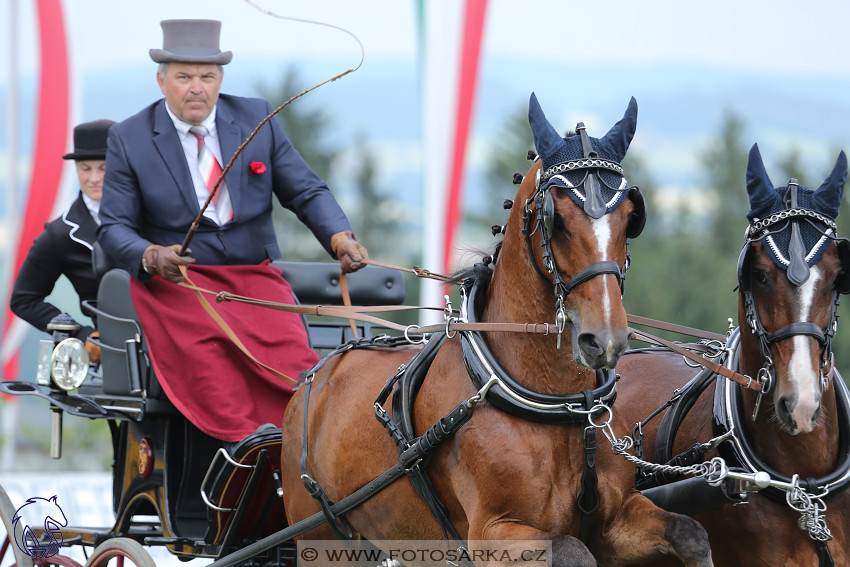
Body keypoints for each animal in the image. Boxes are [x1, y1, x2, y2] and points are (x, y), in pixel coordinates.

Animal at [280, 95, 716, 564]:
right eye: (556, 218)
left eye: (631, 217)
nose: (604, 340)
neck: (557, 403)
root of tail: (315, 374)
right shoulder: (494, 533)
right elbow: (574, 549)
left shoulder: (618, 517)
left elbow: (690, 532)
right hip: (317, 536)